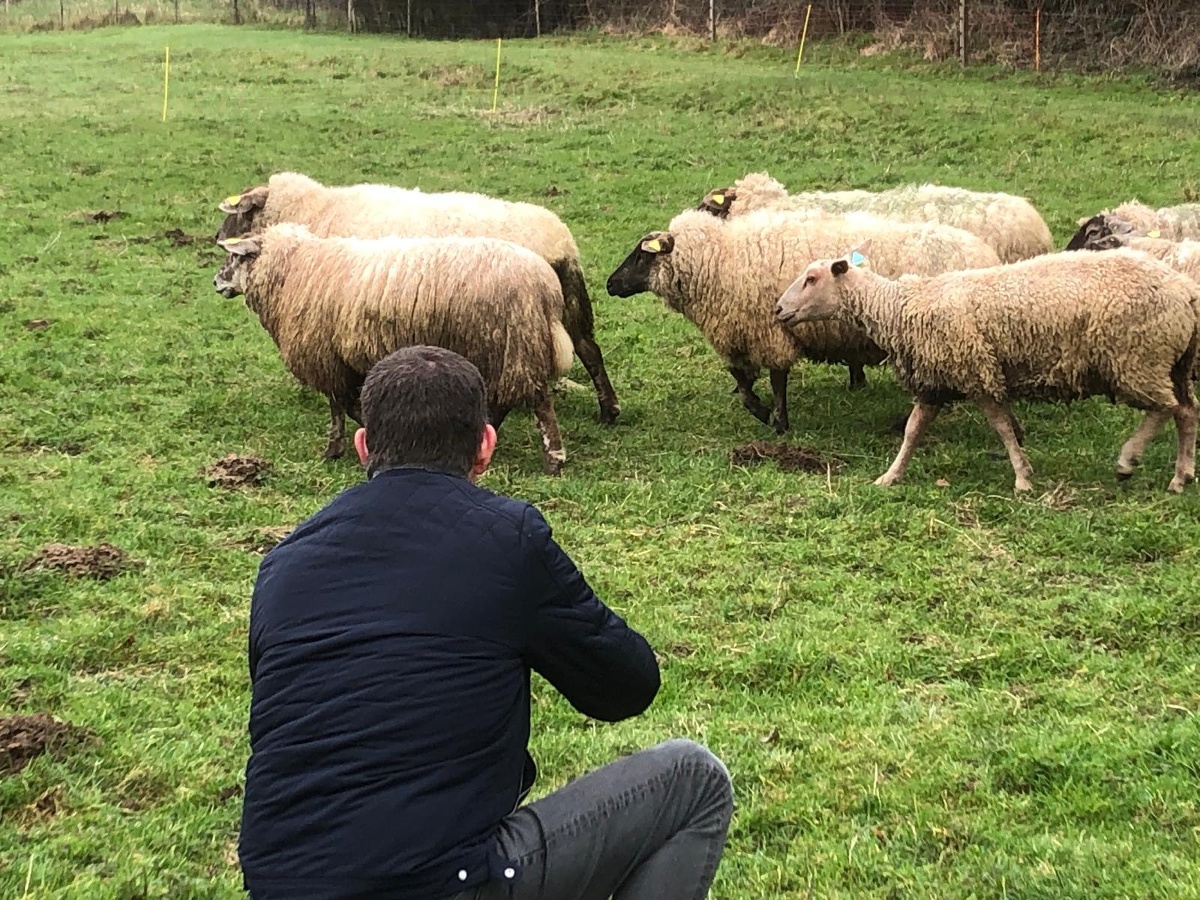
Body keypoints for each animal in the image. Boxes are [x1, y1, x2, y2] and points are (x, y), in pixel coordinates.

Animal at [212, 224, 575, 475]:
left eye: (235, 256)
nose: (217, 282)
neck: (293, 271)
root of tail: (546, 285)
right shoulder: (342, 360)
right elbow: (344, 404)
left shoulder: (326, 355)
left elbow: (338, 406)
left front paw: (335, 448)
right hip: (508, 347)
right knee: (509, 400)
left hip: (513, 342)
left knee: (538, 401)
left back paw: (554, 460)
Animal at [214, 171, 619, 426]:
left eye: (239, 214)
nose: (217, 238)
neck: (316, 212)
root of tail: (560, 239)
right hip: (568, 304)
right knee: (589, 350)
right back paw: (609, 411)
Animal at [604, 207, 1000, 434]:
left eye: (641, 256)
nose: (609, 284)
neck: (719, 261)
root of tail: (986, 254)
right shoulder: (741, 330)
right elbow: (740, 378)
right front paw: (761, 409)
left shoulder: (767, 328)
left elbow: (774, 378)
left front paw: (774, 419)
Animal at [775, 242, 1200, 493]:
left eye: (811, 278)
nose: (778, 309)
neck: (900, 308)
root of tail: (1185, 291)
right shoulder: (935, 380)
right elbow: (913, 431)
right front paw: (890, 476)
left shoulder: (975, 370)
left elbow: (1001, 426)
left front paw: (1022, 478)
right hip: (1173, 363)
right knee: (1187, 412)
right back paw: (1181, 477)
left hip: (1138, 357)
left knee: (1165, 409)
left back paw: (1129, 461)